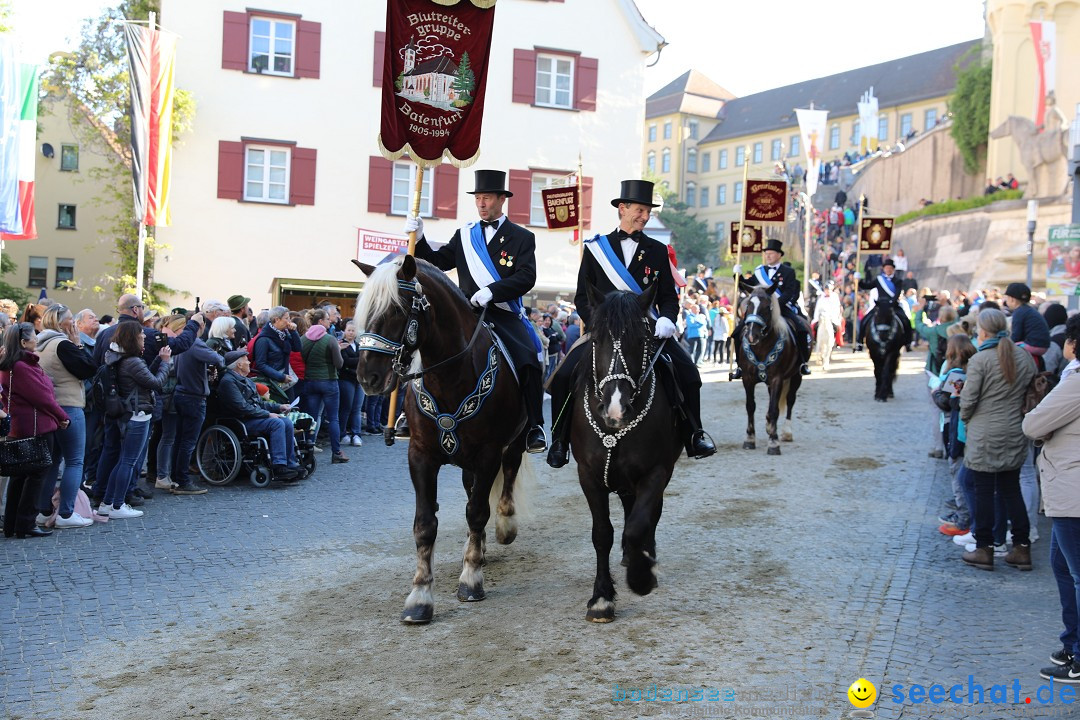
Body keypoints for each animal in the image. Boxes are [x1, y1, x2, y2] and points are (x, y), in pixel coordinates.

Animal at [354, 255, 531, 621]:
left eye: (395, 310)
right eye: (365, 310)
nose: (367, 377)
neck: (450, 375)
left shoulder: (489, 453)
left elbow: (477, 511)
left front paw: (471, 580)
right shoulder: (421, 455)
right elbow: (425, 523)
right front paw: (420, 596)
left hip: (516, 439)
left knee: (507, 475)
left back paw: (504, 526)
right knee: (470, 491)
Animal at [570, 284, 678, 621]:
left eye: (642, 339)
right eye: (596, 339)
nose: (615, 409)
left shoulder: (656, 472)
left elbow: (638, 525)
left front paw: (641, 577)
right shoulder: (588, 476)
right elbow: (602, 533)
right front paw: (601, 598)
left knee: (647, 517)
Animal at [734, 284, 803, 453]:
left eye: (766, 307)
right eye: (748, 305)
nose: (751, 336)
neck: (761, 346)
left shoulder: (777, 379)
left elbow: (774, 409)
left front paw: (774, 442)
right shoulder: (747, 379)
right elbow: (750, 406)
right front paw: (750, 439)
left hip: (796, 376)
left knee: (790, 400)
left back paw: (786, 432)